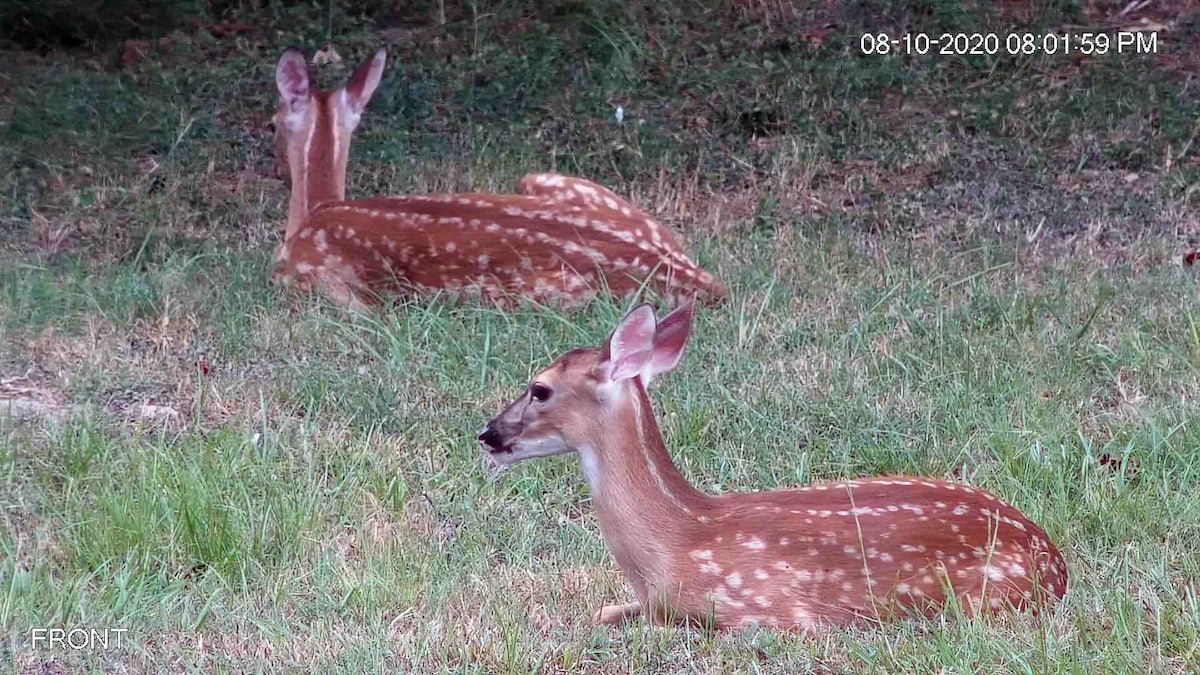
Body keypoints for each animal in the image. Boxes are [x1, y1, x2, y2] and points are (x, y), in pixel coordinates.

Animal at [268, 47, 727, 311]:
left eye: (272, 123)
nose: (277, 171)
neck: (318, 209)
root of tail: (697, 278)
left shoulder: (308, 277)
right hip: (551, 182)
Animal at [478, 302, 1069, 631]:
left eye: (539, 389)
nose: (487, 435)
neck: (672, 542)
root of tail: (1058, 565)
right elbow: (602, 613)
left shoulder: (769, 609)